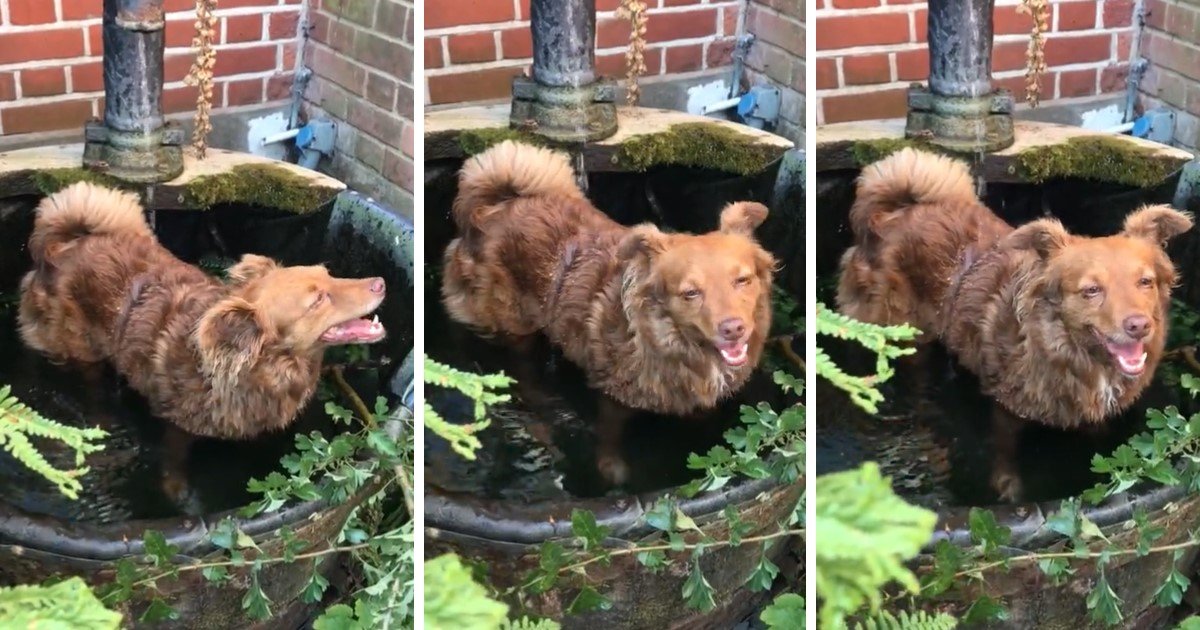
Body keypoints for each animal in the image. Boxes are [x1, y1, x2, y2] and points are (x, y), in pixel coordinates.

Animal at [840, 146, 1195, 496]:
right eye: (1091, 290)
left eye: (1145, 282)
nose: (1140, 326)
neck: (1070, 352)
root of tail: (891, 214)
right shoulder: (1009, 408)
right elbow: (1004, 452)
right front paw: (1008, 487)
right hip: (905, 332)